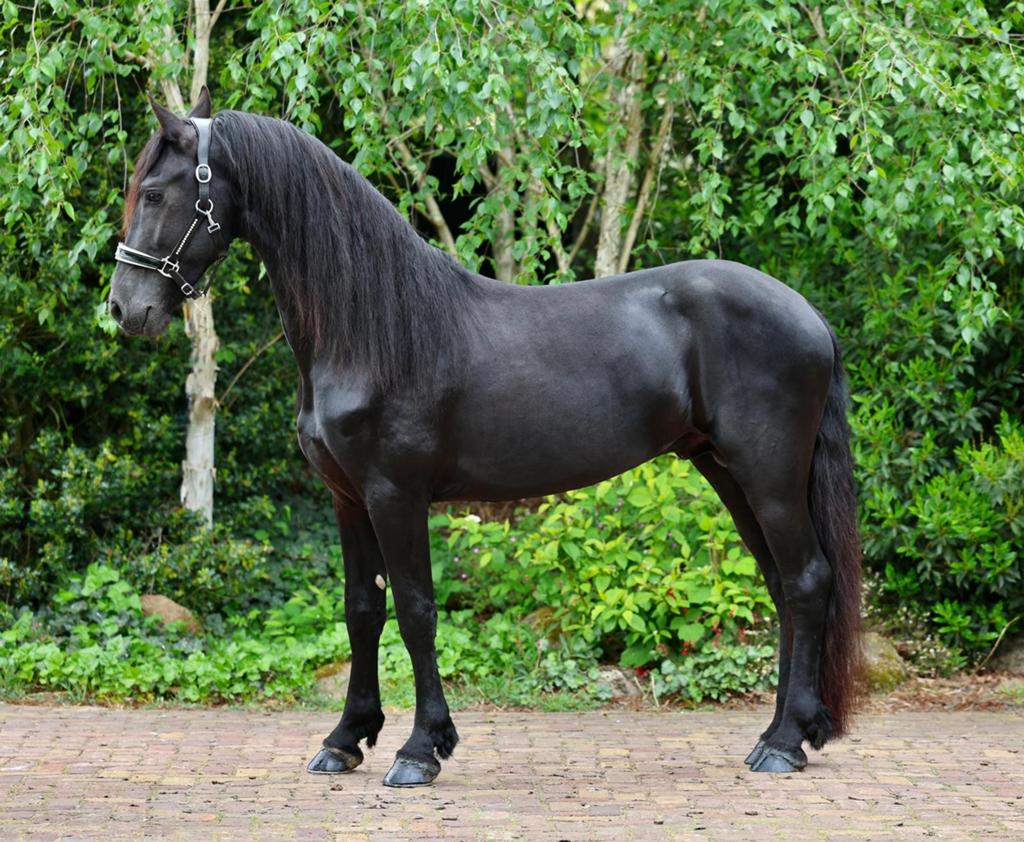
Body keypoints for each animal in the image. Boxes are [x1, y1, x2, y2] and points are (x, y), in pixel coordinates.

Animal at [109, 89, 863, 787]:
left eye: (156, 191)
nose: (125, 309)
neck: (369, 330)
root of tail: (808, 315)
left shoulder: (396, 495)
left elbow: (415, 611)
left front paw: (420, 749)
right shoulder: (347, 500)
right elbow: (361, 611)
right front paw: (345, 740)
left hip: (768, 478)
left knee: (806, 580)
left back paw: (784, 744)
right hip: (727, 472)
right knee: (782, 587)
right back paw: (783, 732)